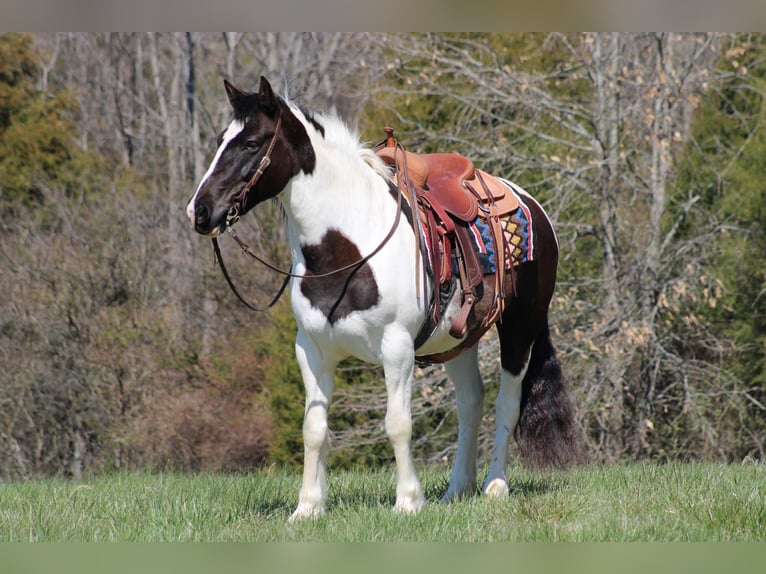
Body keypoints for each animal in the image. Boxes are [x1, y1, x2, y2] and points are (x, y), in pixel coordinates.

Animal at [186, 76, 584, 520]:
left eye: (252, 143)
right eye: (221, 139)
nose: (199, 211)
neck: (345, 249)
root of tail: (530, 204)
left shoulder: (396, 347)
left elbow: (398, 424)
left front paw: (408, 501)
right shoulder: (311, 350)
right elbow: (314, 429)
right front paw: (308, 507)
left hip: (520, 326)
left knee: (506, 402)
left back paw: (494, 485)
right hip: (459, 339)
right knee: (470, 402)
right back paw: (456, 489)